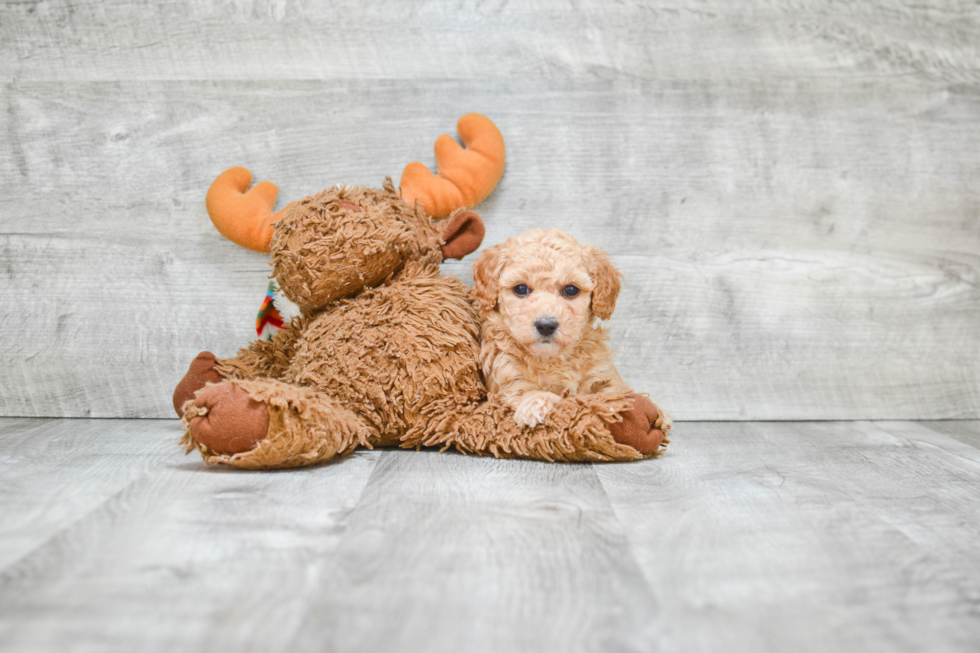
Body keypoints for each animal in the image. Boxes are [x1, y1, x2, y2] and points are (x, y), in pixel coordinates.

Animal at [472, 229, 628, 428]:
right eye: (520, 288)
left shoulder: (607, 379)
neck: (550, 359)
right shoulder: (507, 387)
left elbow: (608, 396)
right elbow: (548, 395)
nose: (546, 326)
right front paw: (535, 403)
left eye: (571, 290)